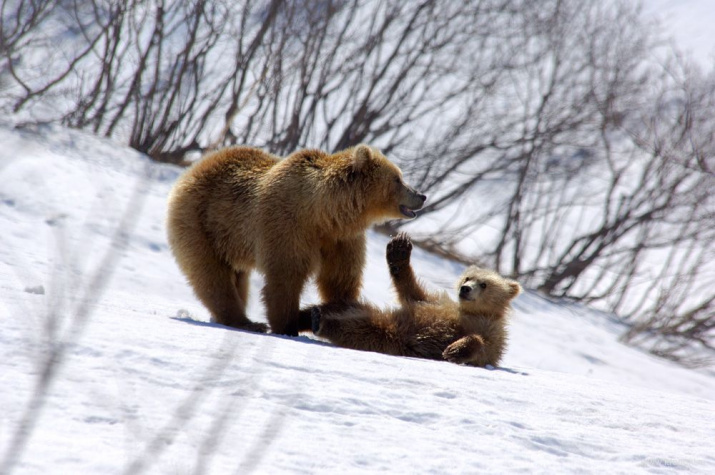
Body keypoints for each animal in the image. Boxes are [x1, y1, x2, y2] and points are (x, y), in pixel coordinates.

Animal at [167, 145, 426, 334]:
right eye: (397, 179)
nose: (421, 195)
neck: (324, 215)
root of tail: (196, 167)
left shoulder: (342, 240)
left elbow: (340, 280)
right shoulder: (288, 227)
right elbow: (286, 276)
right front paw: (287, 326)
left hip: (231, 239)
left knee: (237, 277)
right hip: (201, 222)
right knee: (211, 276)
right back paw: (245, 321)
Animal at [310, 234, 524, 368]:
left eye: (484, 284)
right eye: (467, 278)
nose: (465, 289)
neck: (473, 312)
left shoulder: (492, 331)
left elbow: (483, 348)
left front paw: (456, 349)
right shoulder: (434, 303)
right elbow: (411, 291)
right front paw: (399, 251)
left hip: (387, 337)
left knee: (356, 327)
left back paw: (320, 321)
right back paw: (312, 316)